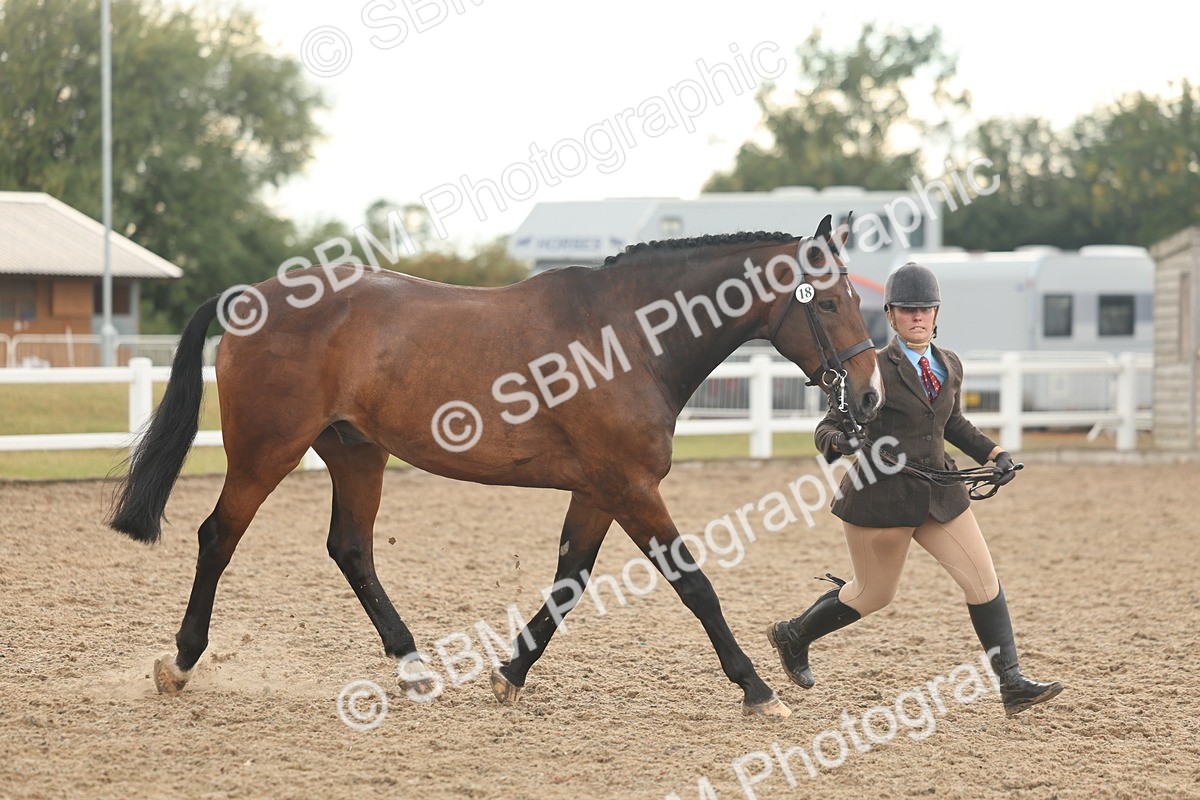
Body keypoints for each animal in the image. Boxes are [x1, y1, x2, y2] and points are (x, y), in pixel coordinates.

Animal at [108, 214, 883, 718]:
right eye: (832, 302)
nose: (870, 395)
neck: (629, 337)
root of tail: (250, 298)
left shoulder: (600, 490)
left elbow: (570, 581)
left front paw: (510, 673)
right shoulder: (631, 488)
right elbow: (694, 585)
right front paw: (758, 689)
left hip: (356, 453)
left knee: (350, 548)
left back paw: (414, 668)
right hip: (266, 451)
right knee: (218, 537)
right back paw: (180, 664)